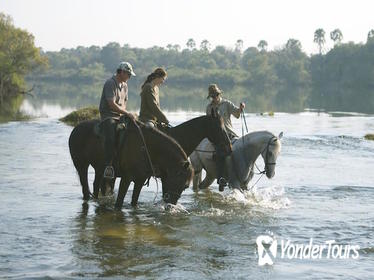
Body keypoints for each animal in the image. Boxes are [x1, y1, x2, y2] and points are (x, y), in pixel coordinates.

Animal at [67, 113, 231, 201]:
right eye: (219, 127)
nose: (228, 148)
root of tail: (76, 129)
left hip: (100, 169)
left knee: (96, 185)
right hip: (82, 166)